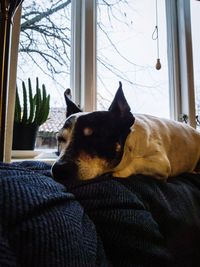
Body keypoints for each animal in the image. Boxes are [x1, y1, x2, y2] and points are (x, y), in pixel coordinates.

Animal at [52, 82, 200, 182]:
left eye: (96, 137)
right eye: (60, 139)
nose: (59, 170)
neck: (129, 145)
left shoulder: (161, 164)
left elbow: (136, 164)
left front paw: (119, 172)